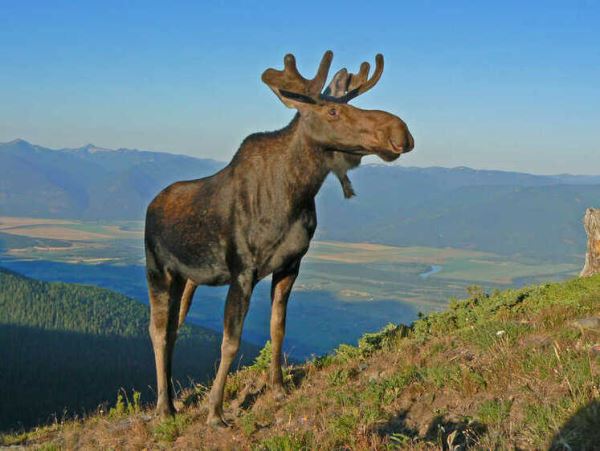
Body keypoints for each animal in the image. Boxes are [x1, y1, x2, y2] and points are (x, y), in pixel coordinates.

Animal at [146, 50, 414, 428]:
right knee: (157, 330)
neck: (294, 193)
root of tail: (152, 204)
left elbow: (278, 327)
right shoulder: (242, 271)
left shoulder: (291, 265)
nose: (400, 131)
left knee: (173, 327)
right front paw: (216, 411)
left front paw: (277, 387)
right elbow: (230, 341)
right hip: (158, 269)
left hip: (187, 279)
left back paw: (170, 400)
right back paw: (164, 407)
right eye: (333, 112)